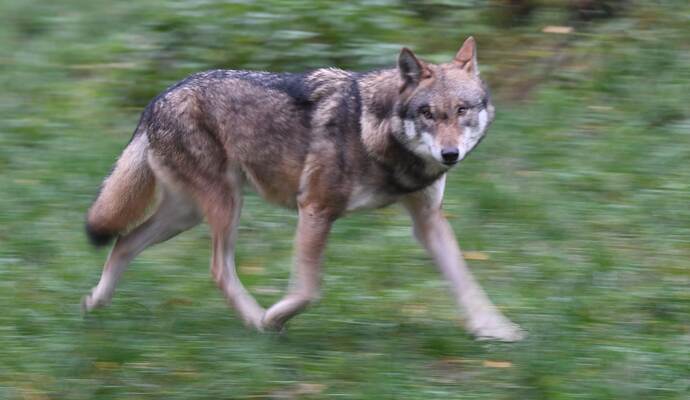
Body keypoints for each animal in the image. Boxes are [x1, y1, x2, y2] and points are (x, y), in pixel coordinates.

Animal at [83, 37, 524, 341]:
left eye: (462, 110)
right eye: (428, 113)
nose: (450, 154)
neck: (376, 132)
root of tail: (157, 99)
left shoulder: (428, 221)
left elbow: (466, 281)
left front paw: (495, 330)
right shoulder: (315, 208)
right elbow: (309, 289)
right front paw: (274, 316)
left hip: (186, 214)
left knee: (124, 242)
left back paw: (95, 303)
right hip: (224, 206)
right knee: (217, 269)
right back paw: (256, 321)